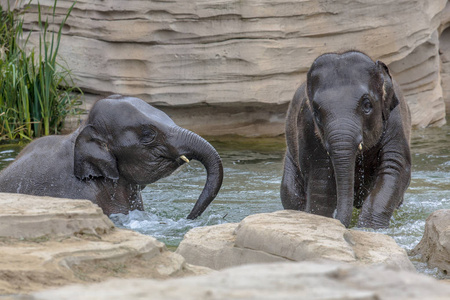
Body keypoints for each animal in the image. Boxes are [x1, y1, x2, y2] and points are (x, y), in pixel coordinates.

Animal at [282, 51, 412, 229]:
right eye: (316, 112)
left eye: (367, 105)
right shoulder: (306, 124)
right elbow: (320, 177)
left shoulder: (395, 121)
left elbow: (394, 168)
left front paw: (368, 229)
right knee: (290, 193)